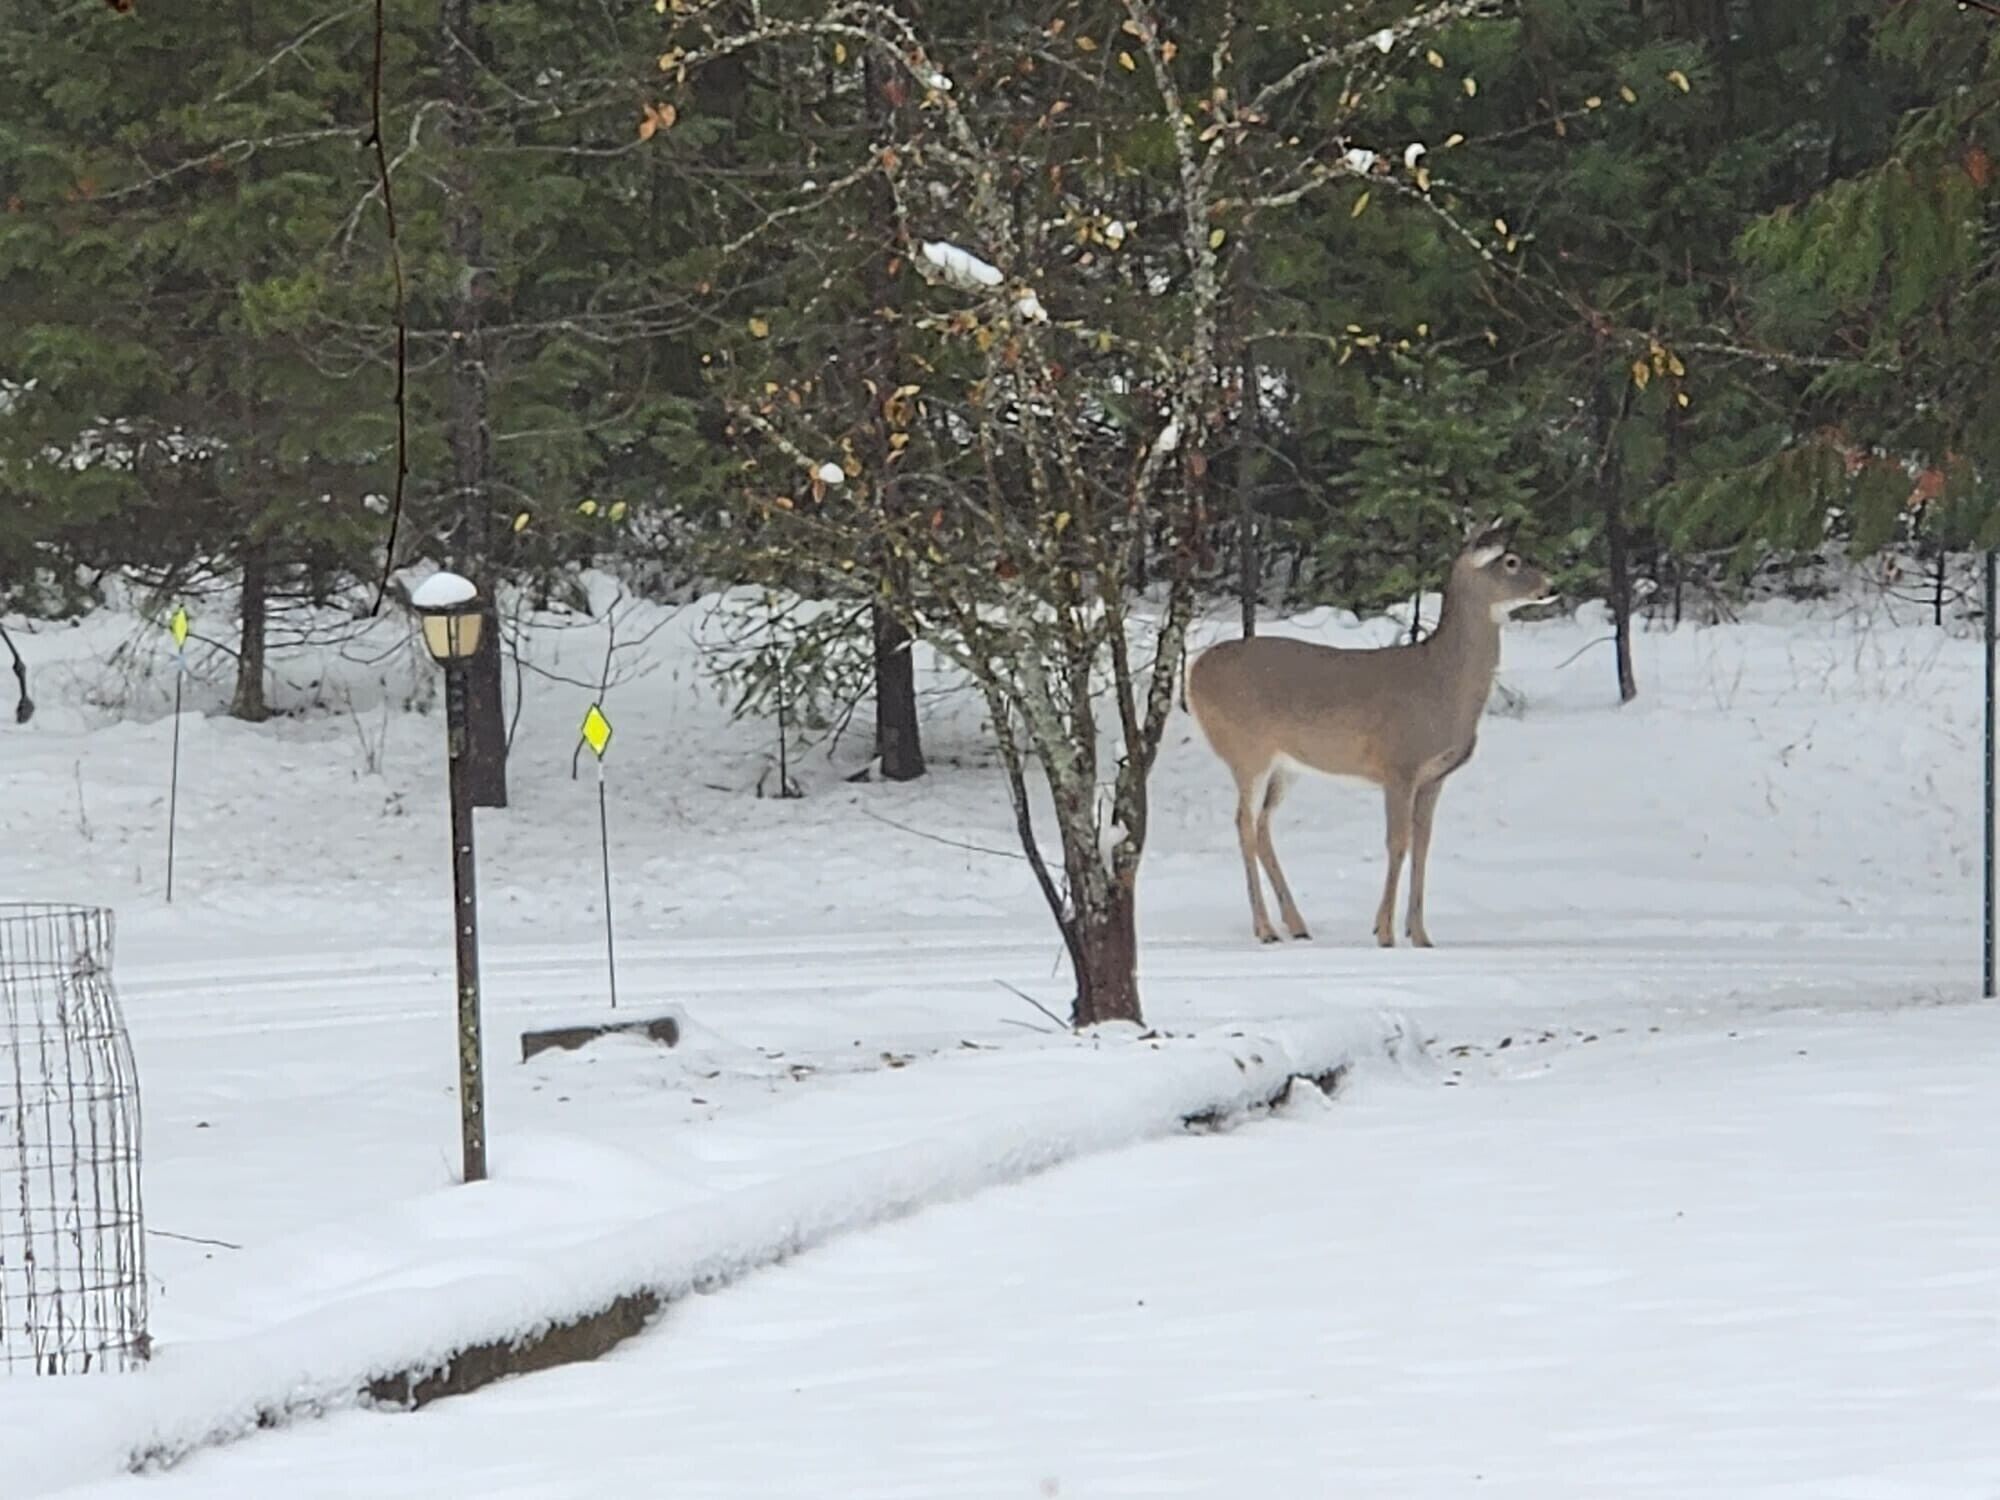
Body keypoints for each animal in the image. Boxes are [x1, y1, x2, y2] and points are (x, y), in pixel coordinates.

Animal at [1186, 521, 1549, 948]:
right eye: (1511, 561)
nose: (1550, 583)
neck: (1443, 683)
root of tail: (1194, 671)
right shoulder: (1398, 765)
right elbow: (1398, 843)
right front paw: (1386, 933)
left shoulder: (1434, 776)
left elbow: (1422, 846)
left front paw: (1420, 934)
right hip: (1246, 750)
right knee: (1243, 823)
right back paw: (1265, 929)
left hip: (1285, 766)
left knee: (1261, 825)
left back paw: (1296, 924)